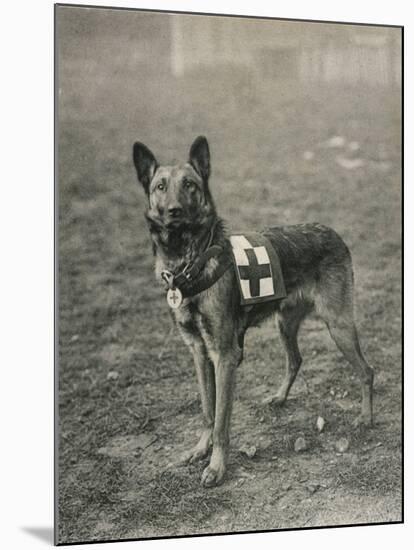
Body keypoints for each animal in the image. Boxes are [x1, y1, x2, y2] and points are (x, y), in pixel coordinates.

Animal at [133, 136, 376, 490]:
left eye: (190, 185)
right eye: (160, 186)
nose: (173, 211)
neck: (190, 261)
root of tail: (331, 232)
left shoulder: (224, 356)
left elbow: (221, 420)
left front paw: (217, 466)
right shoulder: (199, 353)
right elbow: (207, 411)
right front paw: (200, 449)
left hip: (338, 325)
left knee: (366, 371)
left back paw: (366, 418)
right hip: (285, 323)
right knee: (295, 360)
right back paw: (280, 397)